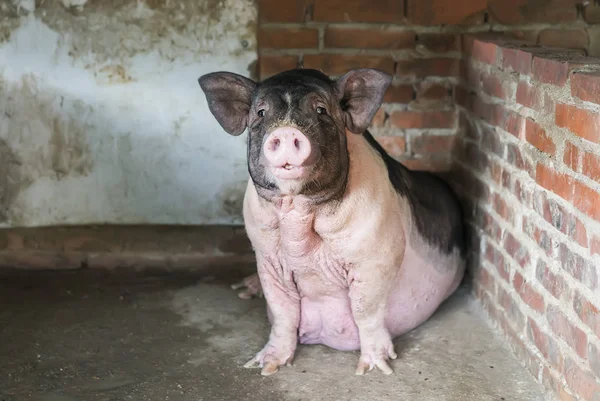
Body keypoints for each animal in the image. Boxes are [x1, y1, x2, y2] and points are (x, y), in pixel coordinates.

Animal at [199, 68, 466, 376]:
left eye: (321, 110)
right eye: (261, 112)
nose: (286, 131)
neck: (298, 214)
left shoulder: (377, 254)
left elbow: (366, 309)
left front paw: (374, 369)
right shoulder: (266, 256)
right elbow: (282, 310)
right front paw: (263, 367)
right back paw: (243, 290)